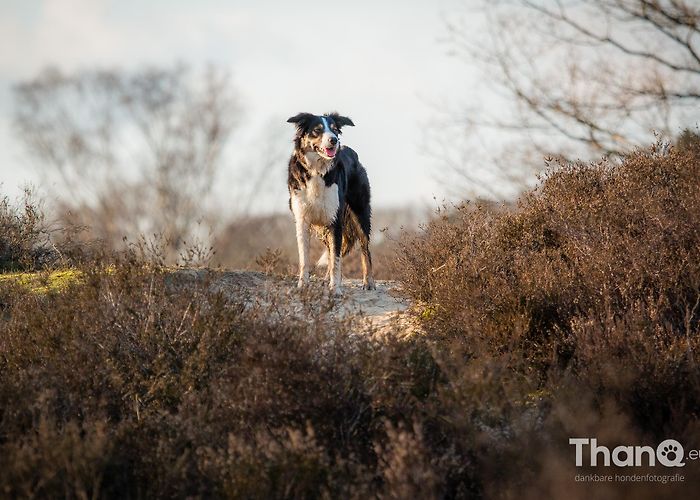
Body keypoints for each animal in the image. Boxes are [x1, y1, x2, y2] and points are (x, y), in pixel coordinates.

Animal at [284, 111, 374, 294]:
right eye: (317, 130)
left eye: (334, 129)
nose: (334, 140)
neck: (316, 170)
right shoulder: (302, 220)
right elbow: (305, 258)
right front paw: (302, 285)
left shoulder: (335, 220)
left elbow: (336, 259)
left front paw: (336, 289)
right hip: (323, 227)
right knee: (331, 249)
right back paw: (326, 279)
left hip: (360, 213)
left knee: (364, 248)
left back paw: (368, 282)